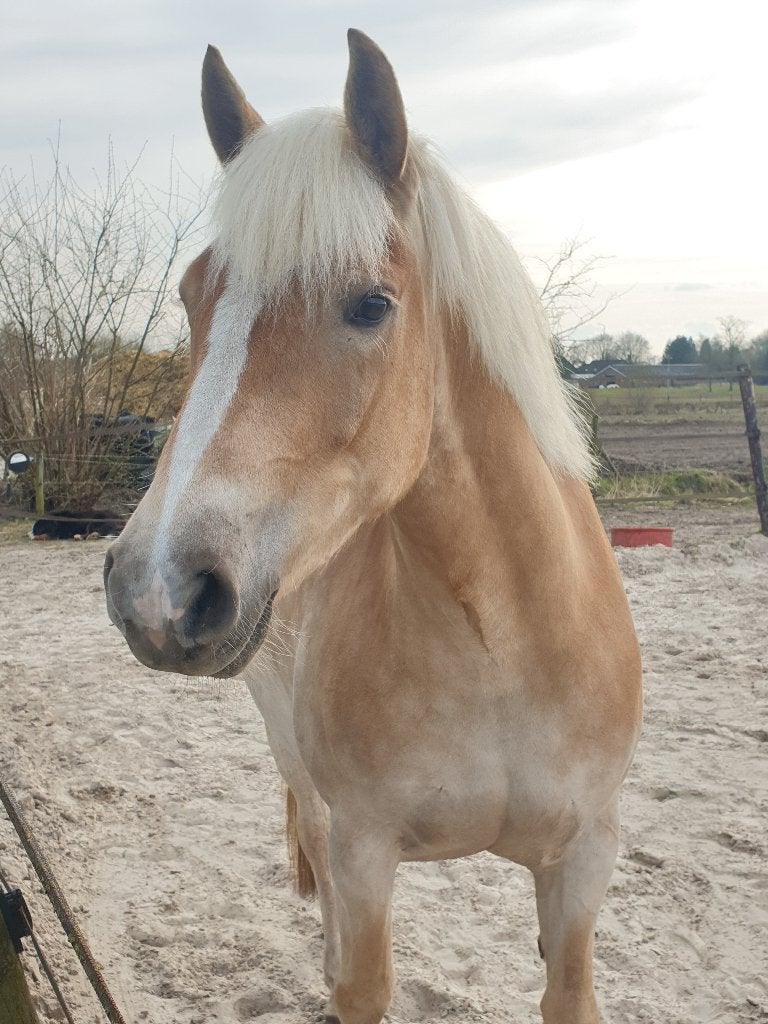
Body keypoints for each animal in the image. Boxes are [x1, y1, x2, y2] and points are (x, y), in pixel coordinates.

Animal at [104, 29, 642, 1024]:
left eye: (369, 305)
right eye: (195, 298)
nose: (155, 591)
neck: (502, 647)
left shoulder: (584, 862)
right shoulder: (364, 854)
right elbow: (359, 968)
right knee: (309, 831)